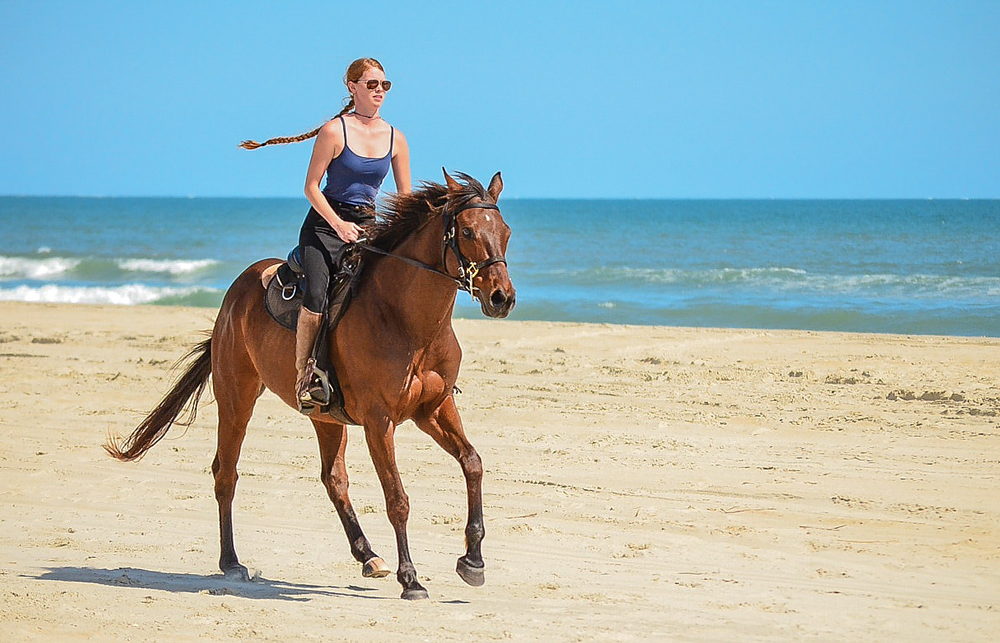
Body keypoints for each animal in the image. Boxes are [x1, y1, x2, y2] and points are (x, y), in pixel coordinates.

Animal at [107, 170, 516, 600]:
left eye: (505, 231)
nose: (501, 298)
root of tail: (237, 291)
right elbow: (397, 498)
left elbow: (473, 463)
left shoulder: (435, 409)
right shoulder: (379, 421)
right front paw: (411, 579)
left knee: (333, 479)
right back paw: (231, 562)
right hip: (237, 399)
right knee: (226, 473)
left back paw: (368, 555)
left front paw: (473, 560)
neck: (406, 321)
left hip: (326, 416)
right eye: (468, 231)